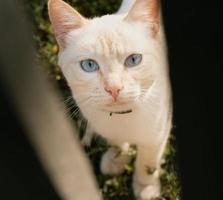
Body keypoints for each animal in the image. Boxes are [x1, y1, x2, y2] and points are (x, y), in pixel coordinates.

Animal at [48, 0, 172, 199]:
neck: (122, 118)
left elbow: (147, 162)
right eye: (89, 65)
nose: (114, 88)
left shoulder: (157, 135)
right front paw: (117, 159)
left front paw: (146, 186)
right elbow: (117, 143)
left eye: (134, 60)